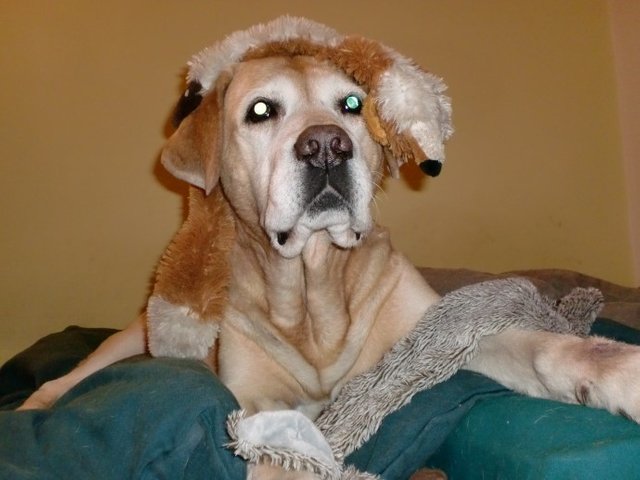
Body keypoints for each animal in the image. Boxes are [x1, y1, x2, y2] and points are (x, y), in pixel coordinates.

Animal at [17, 16, 640, 478]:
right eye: (261, 110)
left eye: (352, 105)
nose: (325, 147)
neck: (314, 287)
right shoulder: (254, 403)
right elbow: (280, 451)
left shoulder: (434, 335)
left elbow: (540, 345)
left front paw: (617, 372)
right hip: (137, 340)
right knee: (67, 378)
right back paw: (32, 408)